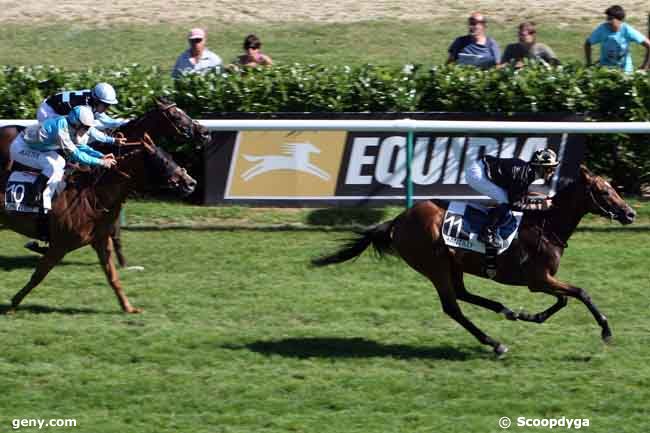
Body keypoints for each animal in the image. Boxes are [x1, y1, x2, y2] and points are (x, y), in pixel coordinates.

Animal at [0, 133, 197, 312]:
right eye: (163, 161)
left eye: (171, 158)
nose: (191, 183)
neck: (93, 196)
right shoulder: (60, 245)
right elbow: (39, 274)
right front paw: (13, 304)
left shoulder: (101, 240)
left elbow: (112, 276)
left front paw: (128, 307)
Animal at [312, 165, 636, 354]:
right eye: (604, 191)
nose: (631, 213)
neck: (546, 224)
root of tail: (398, 220)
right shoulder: (538, 279)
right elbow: (580, 293)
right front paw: (606, 331)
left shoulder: (542, 280)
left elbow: (565, 299)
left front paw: (532, 316)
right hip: (434, 266)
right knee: (452, 306)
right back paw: (495, 343)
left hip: (452, 264)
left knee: (463, 294)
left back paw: (506, 310)